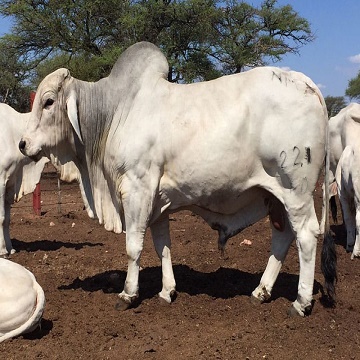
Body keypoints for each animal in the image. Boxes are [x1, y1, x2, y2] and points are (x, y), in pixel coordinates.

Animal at [0, 102, 47, 258]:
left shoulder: (10, 182)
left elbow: (7, 220)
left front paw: (10, 248)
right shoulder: (0, 180)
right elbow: (1, 217)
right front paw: (2, 251)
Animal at [17, 40, 332, 316]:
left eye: (48, 101)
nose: (22, 143)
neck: (114, 113)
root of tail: (307, 84)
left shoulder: (137, 189)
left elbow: (133, 247)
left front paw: (128, 294)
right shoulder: (158, 201)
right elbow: (162, 246)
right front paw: (167, 291)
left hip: (297, 191)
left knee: (306, 236)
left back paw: (300, 303)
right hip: (275, 195)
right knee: (283, 235)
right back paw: (261, 292)